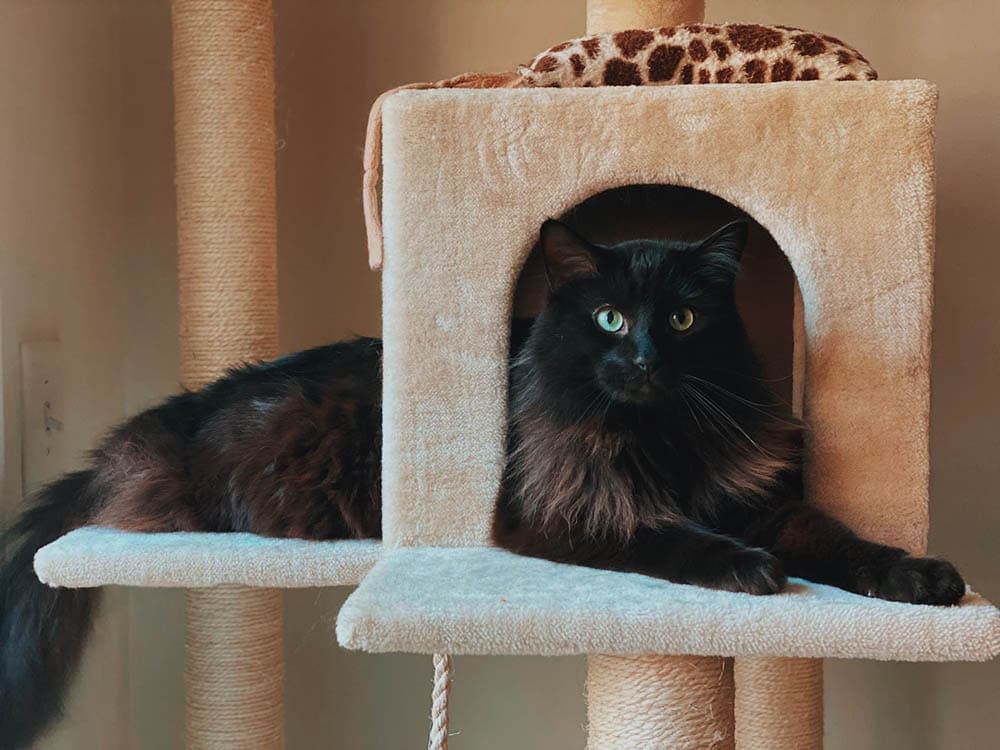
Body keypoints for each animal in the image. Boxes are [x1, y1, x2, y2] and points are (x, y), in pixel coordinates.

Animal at [1, 220, 968, 748]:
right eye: (609, 318)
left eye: (685, 319)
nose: (644, 358)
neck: (660, 438)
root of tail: (160, 426)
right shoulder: (569, 510)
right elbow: (679, 540)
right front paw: (745, 570)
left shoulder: (761, 500)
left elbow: (845, 542)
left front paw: (921, 577)